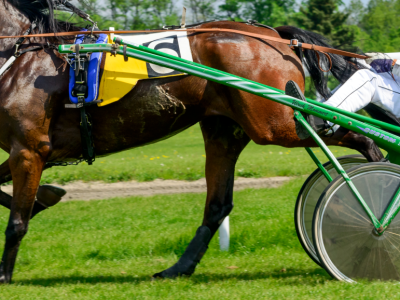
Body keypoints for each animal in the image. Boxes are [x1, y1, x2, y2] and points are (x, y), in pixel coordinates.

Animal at [0, 0, 382, 282]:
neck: (24, 59)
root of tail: (275, 36)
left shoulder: (30, 149)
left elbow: (17, 221)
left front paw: (5, 275)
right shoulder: (25, 151)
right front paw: (46, 197)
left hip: (273, 123)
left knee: (348, 131)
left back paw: (377, 189)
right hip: (225, 129)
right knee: (217, 205)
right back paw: (178, 268)